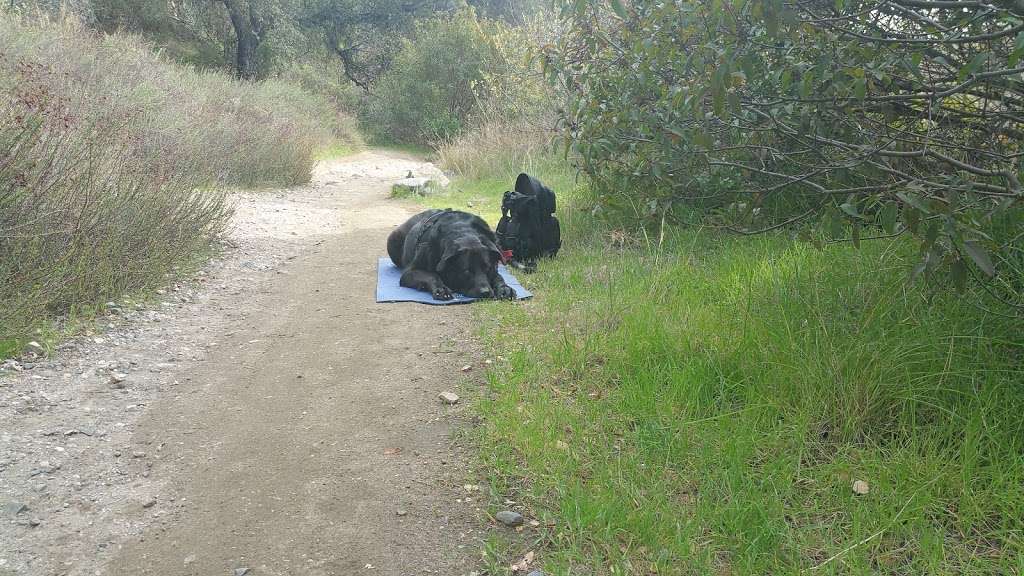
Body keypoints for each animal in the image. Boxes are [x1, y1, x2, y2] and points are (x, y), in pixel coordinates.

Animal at [387, 211, 516, 301]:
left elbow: (498, 276)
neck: (463, 231)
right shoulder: (409, 272)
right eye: (466, 271)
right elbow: (431, 275)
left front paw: (504, 288)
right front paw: (441, 289)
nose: (485, 293)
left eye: (487, 268)